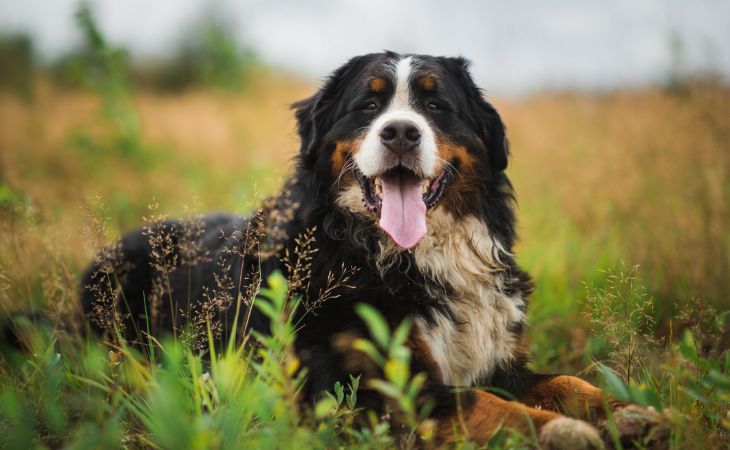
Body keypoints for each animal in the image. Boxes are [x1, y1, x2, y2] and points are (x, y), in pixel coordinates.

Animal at [81, 53, 664, 450]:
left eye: (435, 104)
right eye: (368, 104)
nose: (401, 132)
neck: (407, 258)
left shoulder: (497, 358)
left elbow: (565, 379)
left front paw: (627, 412)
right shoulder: (367, 389)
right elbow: (485, 404)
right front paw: (562, 431)